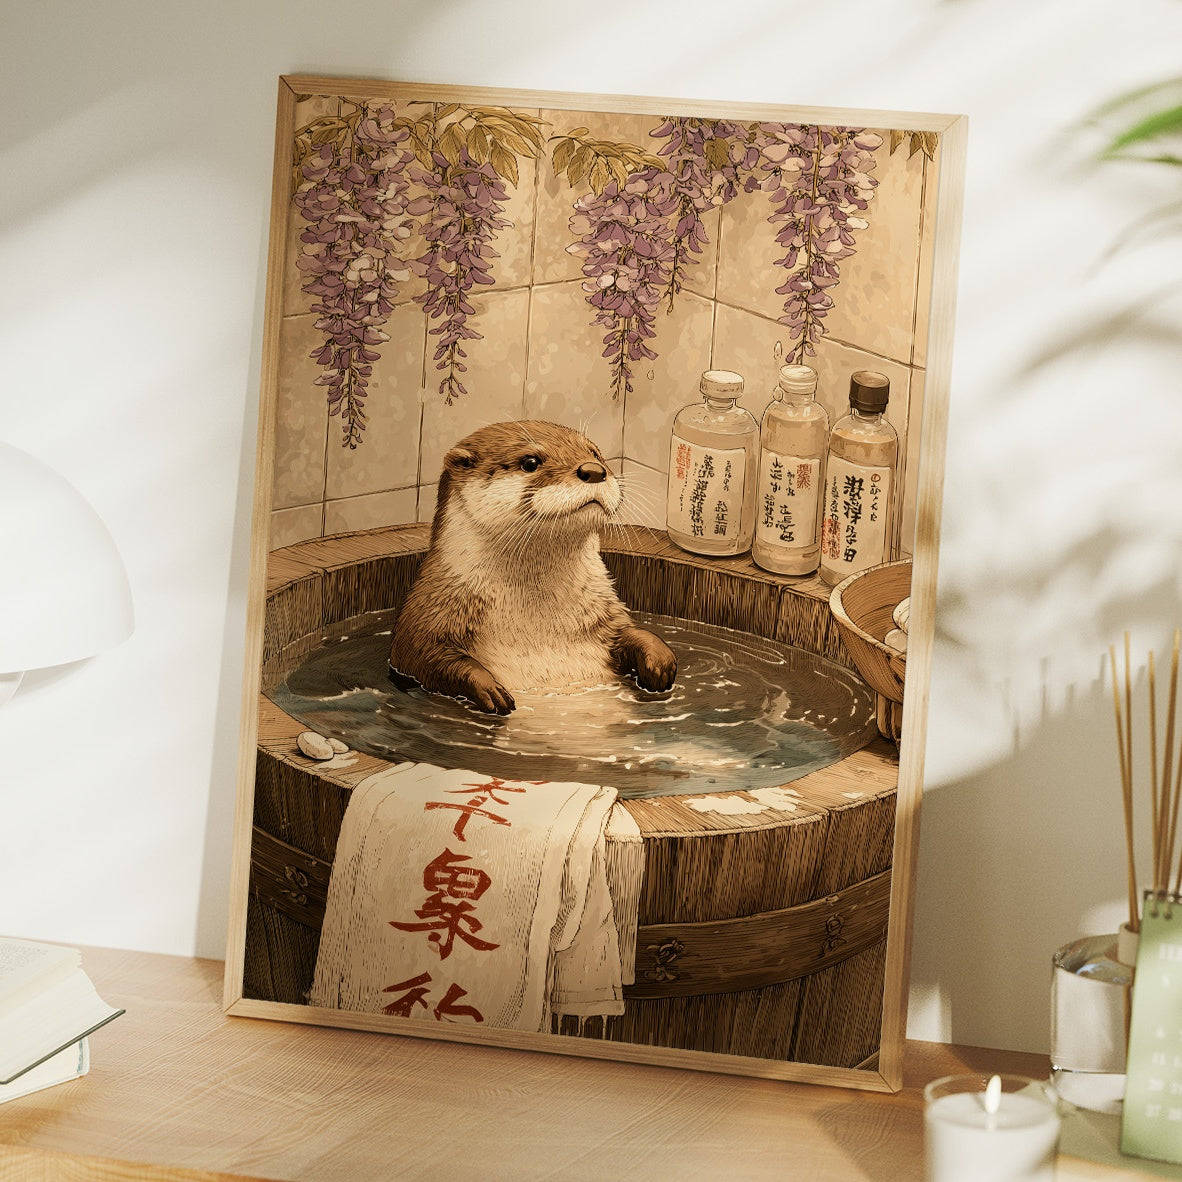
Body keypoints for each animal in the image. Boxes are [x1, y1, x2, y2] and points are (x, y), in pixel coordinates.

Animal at [388, 420, 677, 715]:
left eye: (595, 453)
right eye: (530, 462)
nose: (594, 470)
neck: (540, 625)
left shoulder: (607, 614)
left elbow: (630, 632)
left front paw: (660, 662)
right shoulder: (429, 613)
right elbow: (423, 656)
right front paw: (490, 690)